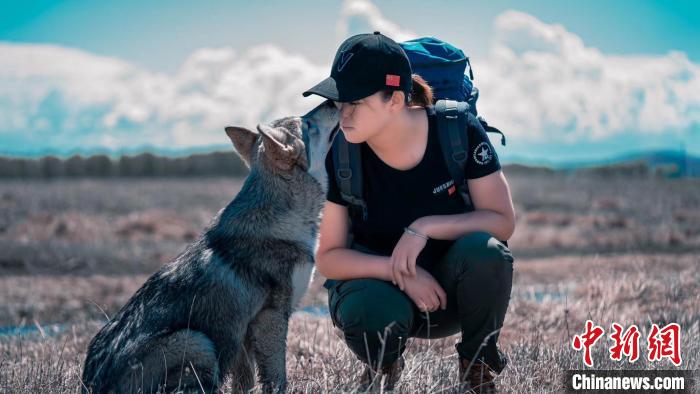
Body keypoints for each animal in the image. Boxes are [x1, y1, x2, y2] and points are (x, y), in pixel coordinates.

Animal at [82, 100, 340, 392]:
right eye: (308, 123)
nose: (332, 101)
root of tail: (91, 384)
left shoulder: (242, 333)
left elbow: (245, 382)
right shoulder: (271, 319)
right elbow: (276, 379)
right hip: (198, 342)